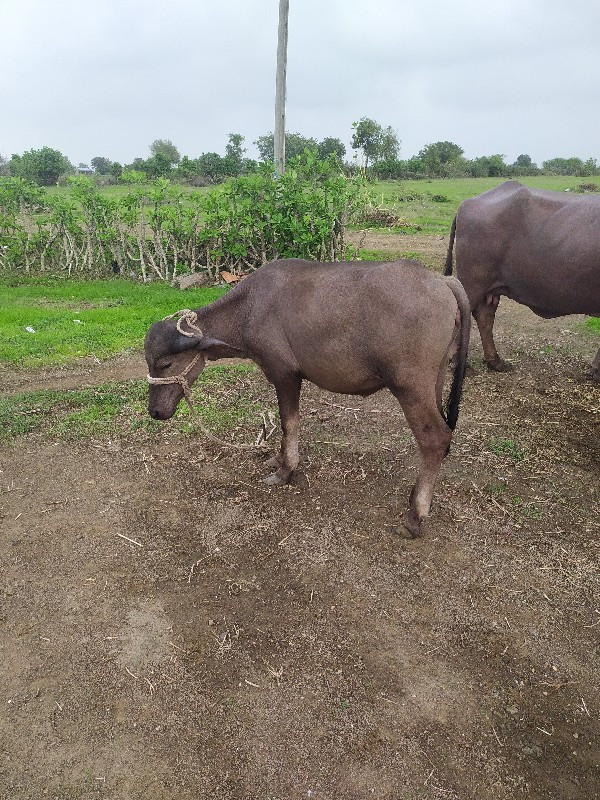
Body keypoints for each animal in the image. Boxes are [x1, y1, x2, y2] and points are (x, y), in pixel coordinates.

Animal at [144, 260, 468, 536]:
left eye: (164, 364)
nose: (155, 411)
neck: (249, 308)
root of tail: (442, 280)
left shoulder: (285, 375)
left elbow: (290, 422)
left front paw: (286, 469)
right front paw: (278, 458)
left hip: (410, 387)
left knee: (435, 438)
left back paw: (415, 516)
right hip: (435, 381)